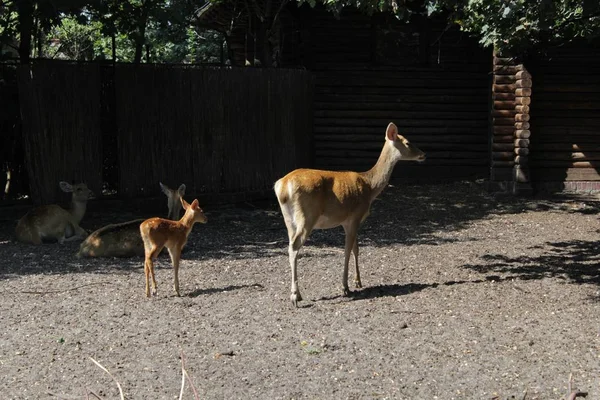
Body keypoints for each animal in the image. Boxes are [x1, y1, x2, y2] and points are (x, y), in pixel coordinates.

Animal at [274, 122, 424, 306]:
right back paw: (295, 296)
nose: (423, 155)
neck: (370, 186)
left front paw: (358, 281)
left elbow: (355, 248)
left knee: (289, 245)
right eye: (408, 142)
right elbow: (347, 249)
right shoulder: (355, 216)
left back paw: (298, 294)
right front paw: (345, 287)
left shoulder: (348, 221)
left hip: (288, 219)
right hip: (307, 215)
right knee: (295, 246)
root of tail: (282, 186)